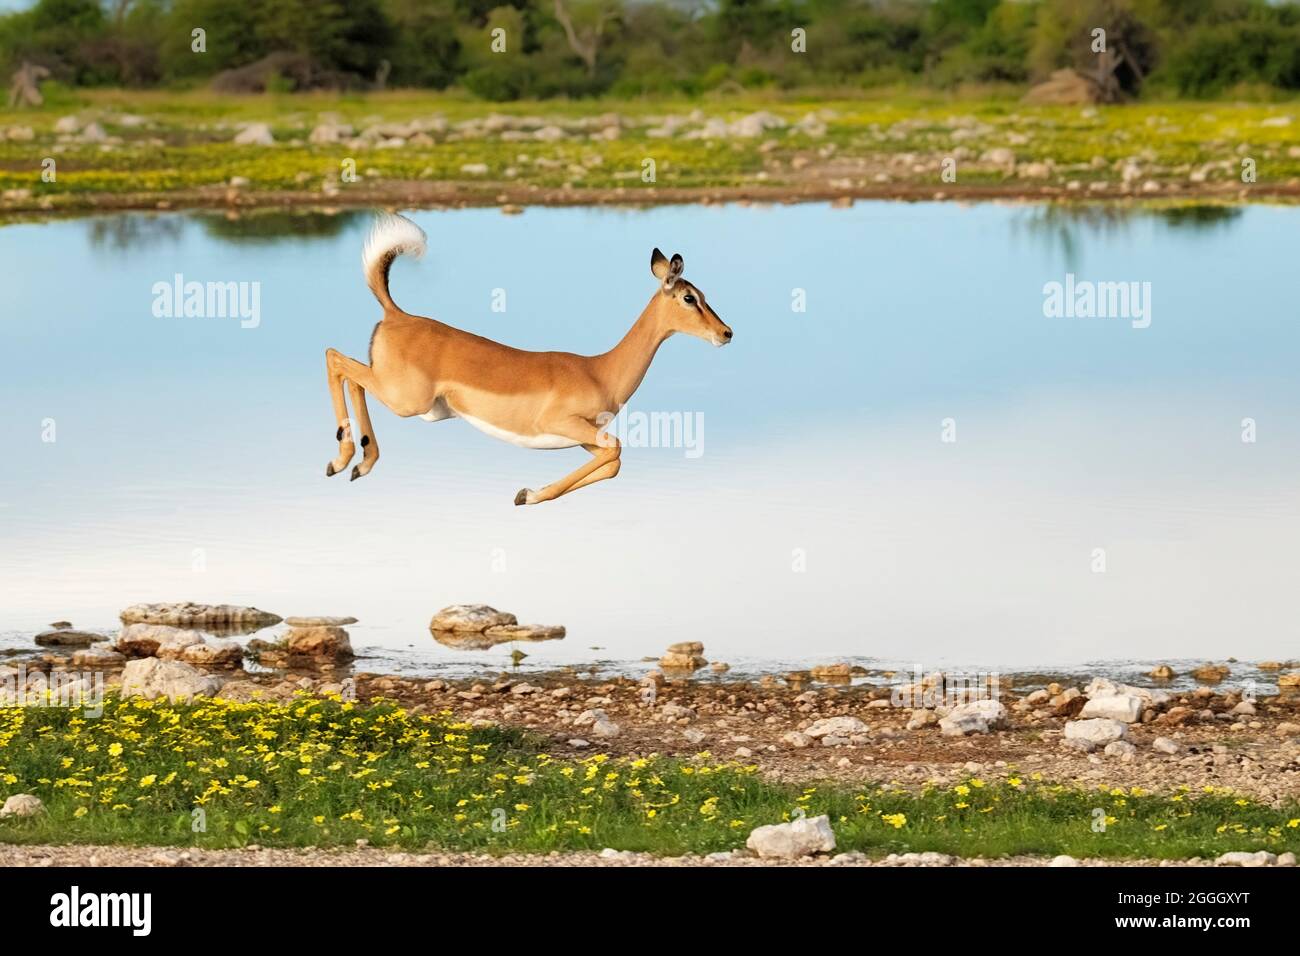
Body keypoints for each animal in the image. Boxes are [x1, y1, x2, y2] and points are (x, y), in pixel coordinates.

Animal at [325, 212, 733, 504]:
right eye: (689, 297)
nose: (726, 333)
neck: (600, 370)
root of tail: (396, 314)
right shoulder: (564, 423)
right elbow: (617, 450)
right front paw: (528, 495)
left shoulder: (582, 435)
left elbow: (614, 462)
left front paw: (527, 493)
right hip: (407, 401)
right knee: (335, 359)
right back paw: (341, 461)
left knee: (350, 374)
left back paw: (359, 465)